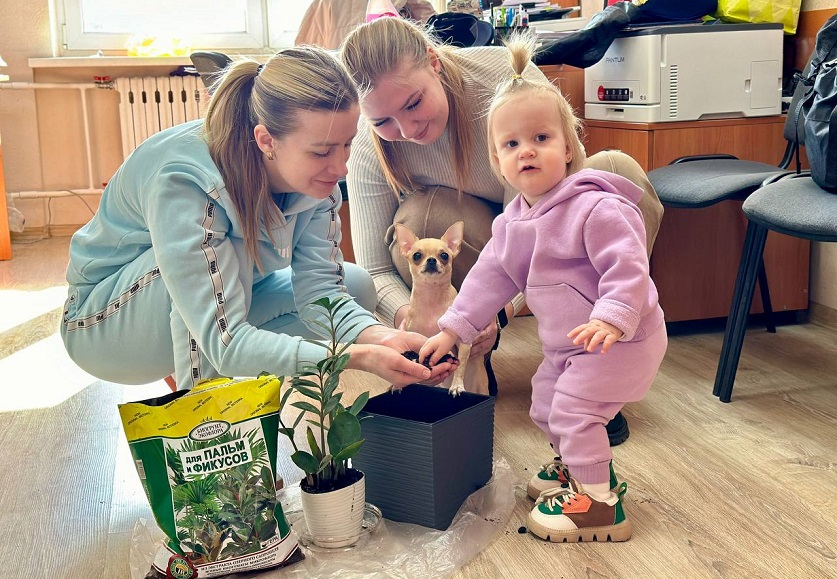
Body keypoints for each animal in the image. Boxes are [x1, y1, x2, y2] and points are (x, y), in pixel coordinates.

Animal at [395, 221, 489, 396]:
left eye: (444, 255)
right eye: (416, 255)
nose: (432, 260)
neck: (431, 297)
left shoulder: (463, 344)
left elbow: (460, 366)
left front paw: (457, 385)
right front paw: (397, 384)